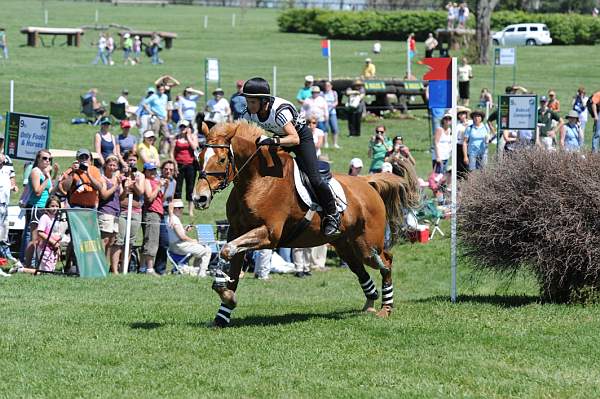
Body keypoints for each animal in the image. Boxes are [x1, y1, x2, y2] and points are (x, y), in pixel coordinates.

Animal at [192, 122, 418, 328]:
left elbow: (226, 251)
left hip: (367, 245)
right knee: (359, 268)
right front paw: (223, 311)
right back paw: (370, 303)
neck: (256, 181)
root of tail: (367, 183)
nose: (199, 198)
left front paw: (224, 293)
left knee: (386, 262)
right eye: (199, 158)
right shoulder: (237, 232)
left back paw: (386, 308)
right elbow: (230, 262)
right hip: (345, 245)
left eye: (222, 159)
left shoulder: (268, 235)